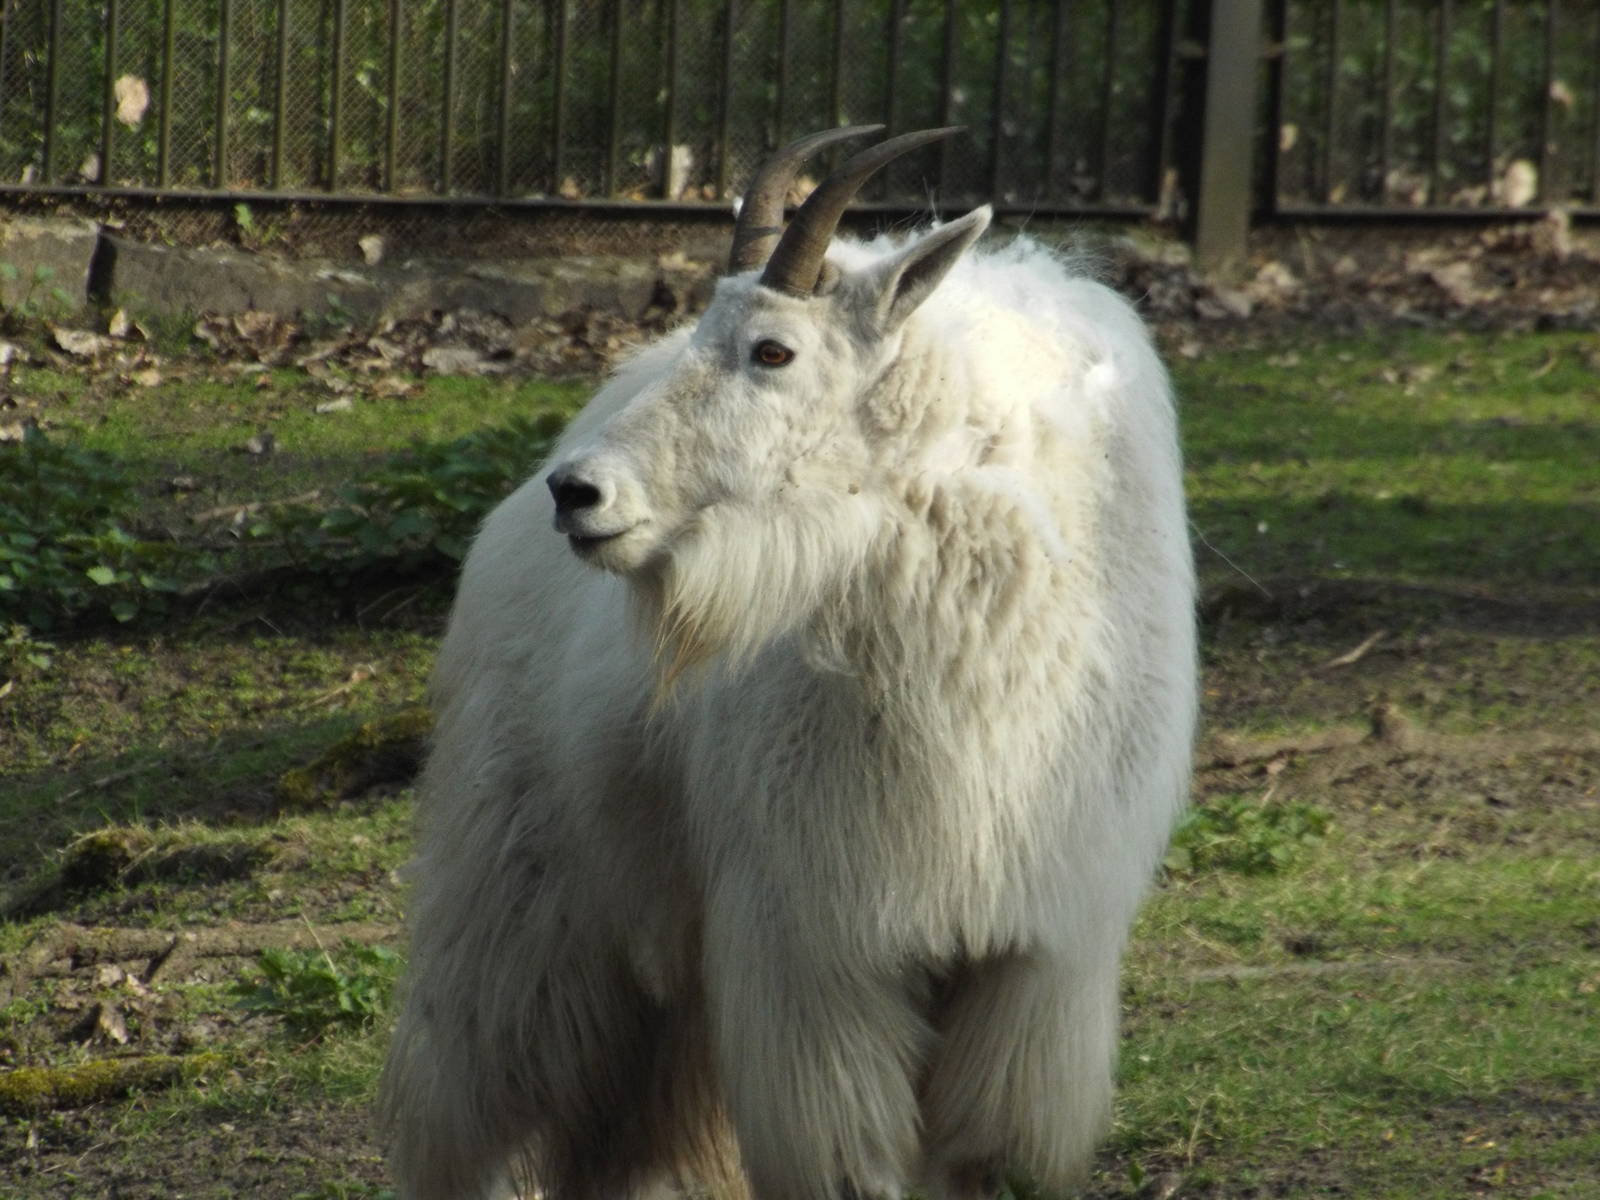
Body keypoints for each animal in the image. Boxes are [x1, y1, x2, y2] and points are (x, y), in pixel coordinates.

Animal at [380, 125, 1197, 1200]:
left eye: (774, 350)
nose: (581, 493)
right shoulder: (821, 953)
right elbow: (852, 1167)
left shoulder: (1031, 956)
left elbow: (987, 1160)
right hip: (527, 905)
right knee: (480, 1096)